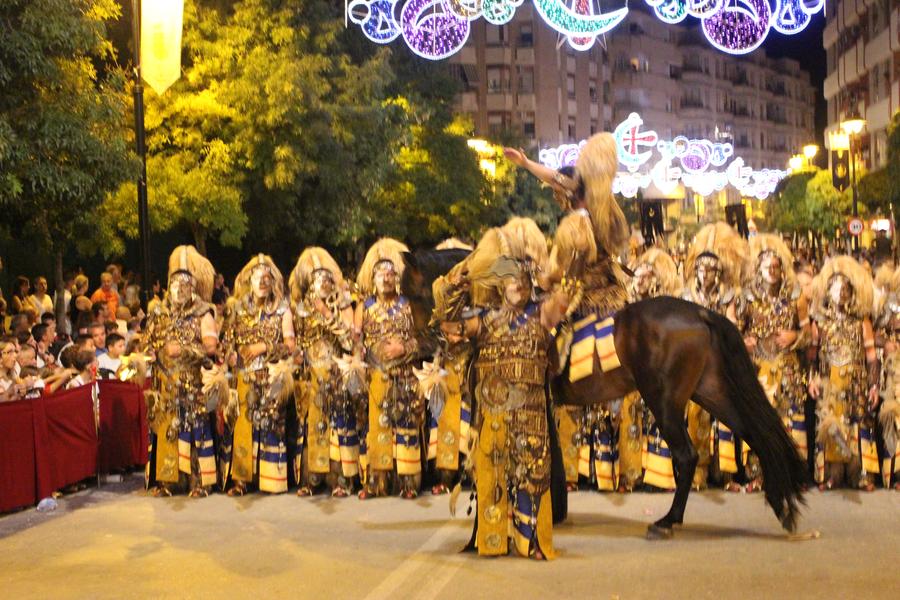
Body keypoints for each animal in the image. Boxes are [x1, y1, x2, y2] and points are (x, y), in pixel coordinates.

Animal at [402, 248, 808, 540]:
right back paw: (781, 504)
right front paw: (553, 510)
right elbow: (550, 456)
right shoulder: (544, 403)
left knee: (687, 455)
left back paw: (668, 521)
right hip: (710, 390)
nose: (425, 343)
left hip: (665, 400)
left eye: (413, 291)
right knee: (756, 433)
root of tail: (699, 312)